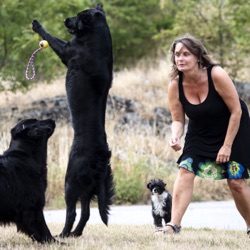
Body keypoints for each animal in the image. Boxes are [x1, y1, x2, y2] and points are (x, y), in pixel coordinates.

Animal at [31, 2, 114, 237]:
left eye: (78, 17)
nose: (65, 20)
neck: (95, 36)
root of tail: (102, 158)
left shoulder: (67, 51)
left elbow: (51, 37)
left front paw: (37, 25)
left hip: (71, 181)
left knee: (72, 212)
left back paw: (63, 234)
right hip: (86, 187)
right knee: (85, 214)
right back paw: (75, 234)